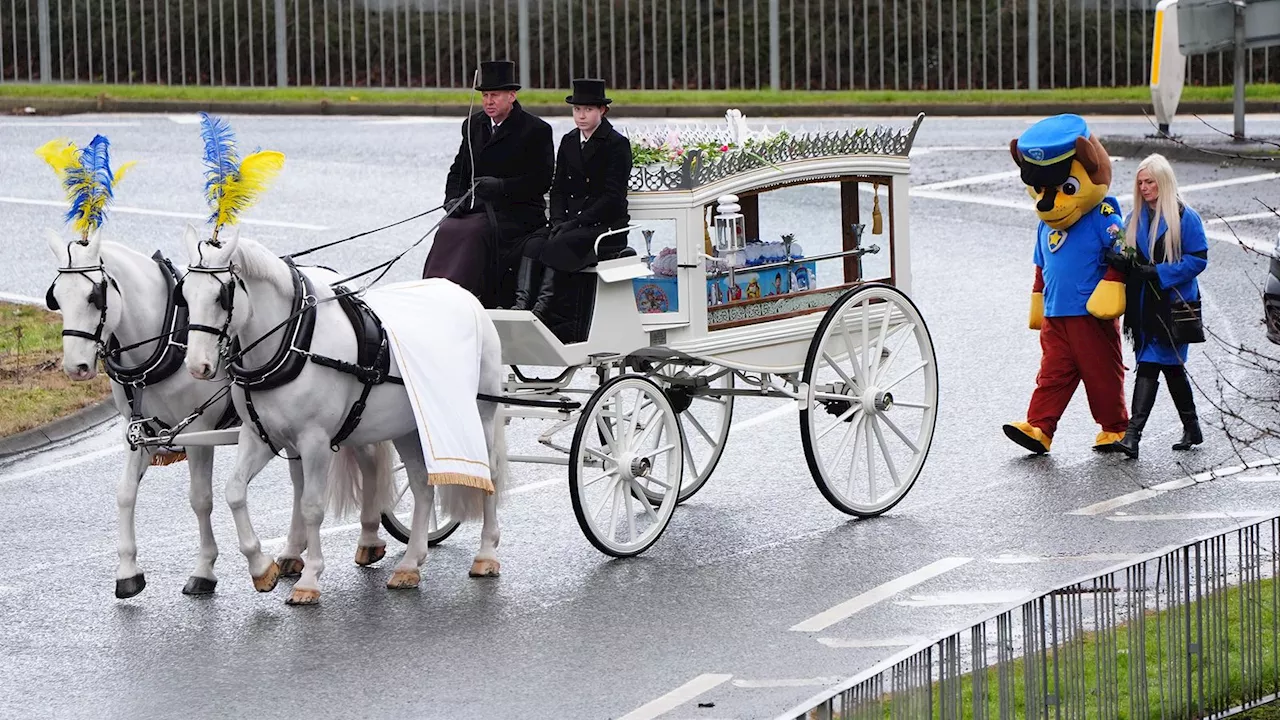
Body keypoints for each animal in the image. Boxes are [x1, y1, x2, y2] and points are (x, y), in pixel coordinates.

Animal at [44, 228, 240, 594]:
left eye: (94, 297)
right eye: (57, 298)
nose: (76, 367)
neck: (169, 337)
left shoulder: (198, 432)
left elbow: (200, 499)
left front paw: (204, 569)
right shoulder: (140, 431)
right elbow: (125, 493)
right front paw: (127, 572)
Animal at [177, 224, 506, 604]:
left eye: (222, 296)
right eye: (184, 294)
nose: (197, 366)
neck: (294, 341)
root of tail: (467, 296)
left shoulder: (315, 441)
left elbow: (311, 506)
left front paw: (309, 579)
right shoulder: (261, 435)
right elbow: (234, 491)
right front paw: (261, 567)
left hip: (479, 416)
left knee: (489, 476)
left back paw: (486, 553)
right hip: (409, 428)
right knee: (423, 486)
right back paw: (410, 563)